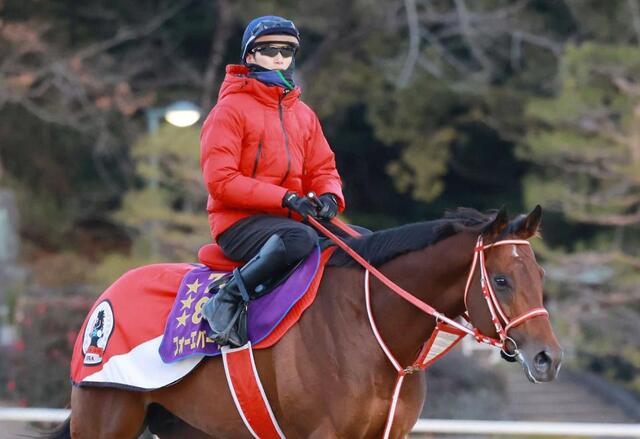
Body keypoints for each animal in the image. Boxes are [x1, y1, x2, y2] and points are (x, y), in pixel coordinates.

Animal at [49, 206, 562, 438]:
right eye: (500, 280)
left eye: (538, 276)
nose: (548, 358)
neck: (372, 330)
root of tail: (101, 307)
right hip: (107, 419)